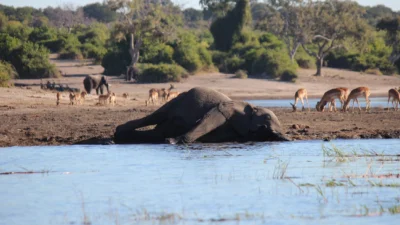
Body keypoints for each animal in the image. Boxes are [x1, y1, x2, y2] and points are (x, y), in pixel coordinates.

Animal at [114, 87, 290, 143]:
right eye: (267, 118)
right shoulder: (226, 109)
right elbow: (206, 121)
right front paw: (173, 142)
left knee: (156, 133)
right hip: (179, 99)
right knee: (155, 116)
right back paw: (118, 132)